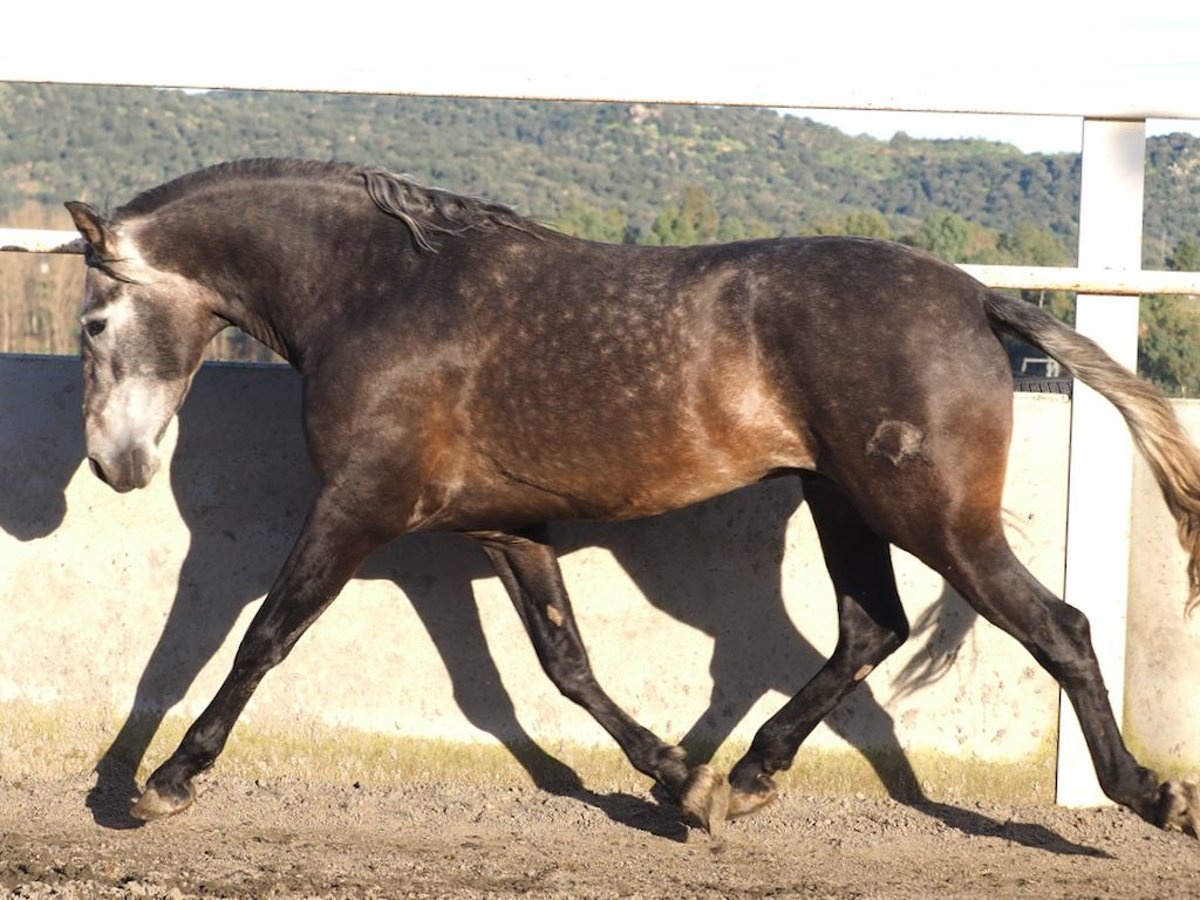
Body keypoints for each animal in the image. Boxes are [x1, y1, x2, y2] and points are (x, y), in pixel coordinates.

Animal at [65, 160, 1200, 840]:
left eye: (90, 323)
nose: (114, 466)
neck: (381, 293)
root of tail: (977, 295)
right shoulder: (505, 527)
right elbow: (564, 667)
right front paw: (677, 781)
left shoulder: (359, 507)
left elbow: (262, 635)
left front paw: (163, 782)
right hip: (845, 505)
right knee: (868, 628)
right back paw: (748, 777)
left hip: (935, 518)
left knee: (1058, 628)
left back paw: (1150, 795)